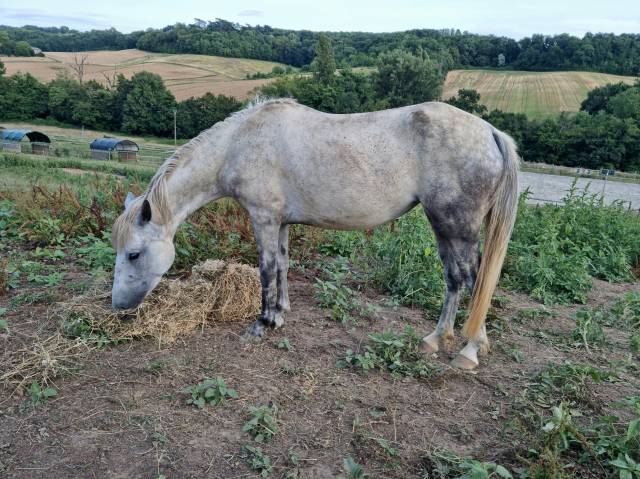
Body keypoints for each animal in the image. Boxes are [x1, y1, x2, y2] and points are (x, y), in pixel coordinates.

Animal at [112, 98, 516, 372]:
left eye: (133, 253)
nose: (118, 306)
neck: (240, 143)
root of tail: (490, 132)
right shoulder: (281, 222)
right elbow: (283, 265)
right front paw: (280, 312)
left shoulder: (263, 218)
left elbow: (266, 268)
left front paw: (262, 324)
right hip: (446, 228)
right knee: (456, 279)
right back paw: (437, 340)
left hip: (456, 226)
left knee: (472, 279)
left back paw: (469, 350)